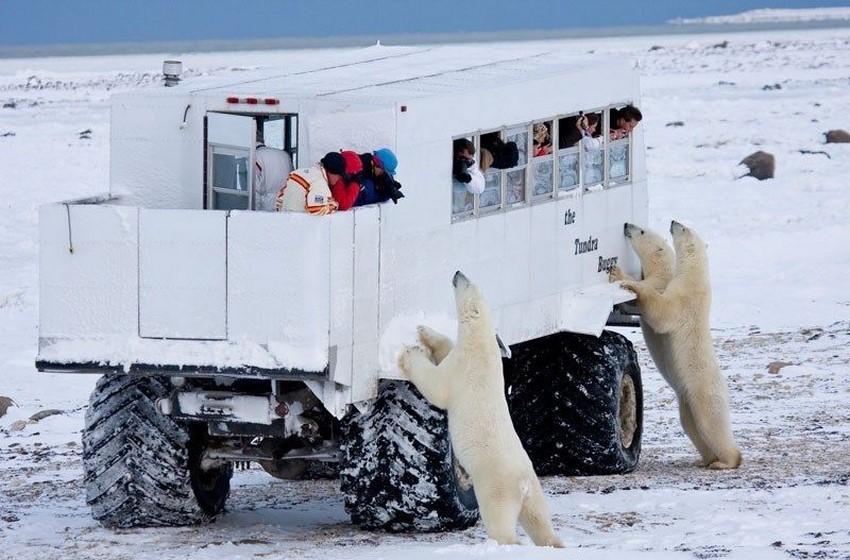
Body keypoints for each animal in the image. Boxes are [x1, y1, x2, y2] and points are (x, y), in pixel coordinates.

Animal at [397, 271, 563, 547]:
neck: (482, 344)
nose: (457, 272)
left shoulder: (464, 368)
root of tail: (522, 484)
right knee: (539, 519)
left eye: (468, 284)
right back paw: (554, 543)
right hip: (534, 489)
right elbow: (445, 347)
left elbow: (436, 386)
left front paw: (409, 353)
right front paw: (425, 332)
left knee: (500, 520)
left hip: (497, 486)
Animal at [613, 221, 742, 470]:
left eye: (641, 231)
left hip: (703, 392)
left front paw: (621, 277)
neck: (694, 276)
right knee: (692, 426)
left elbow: (661, 311)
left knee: (712, 424)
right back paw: (706, 459)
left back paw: (726, 461)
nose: (626, 224)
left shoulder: (682, 297)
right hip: (686, 401)